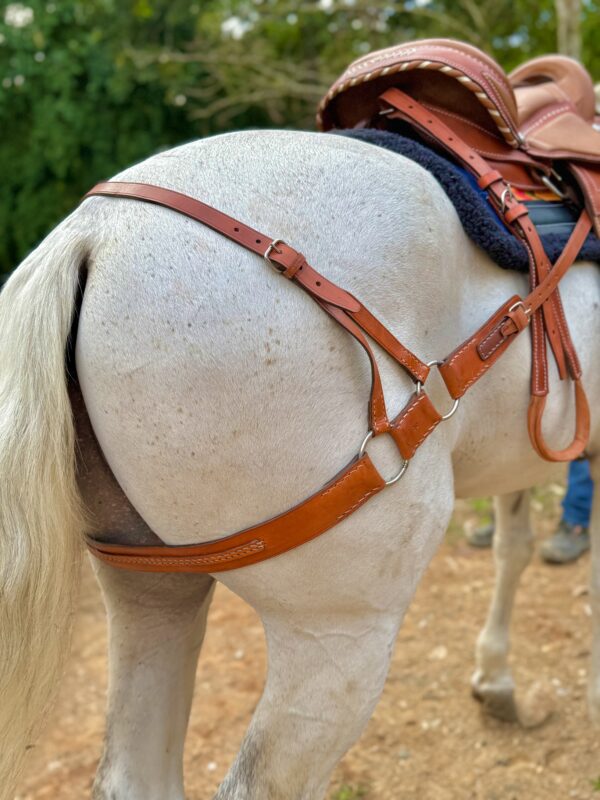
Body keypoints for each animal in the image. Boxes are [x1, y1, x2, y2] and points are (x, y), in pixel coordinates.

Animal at [0, 128, 598, 800]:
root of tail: (93, 230)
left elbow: (512, 549)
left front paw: (496, 680)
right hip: (338, 633)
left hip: (149, 586)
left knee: (134, 773)